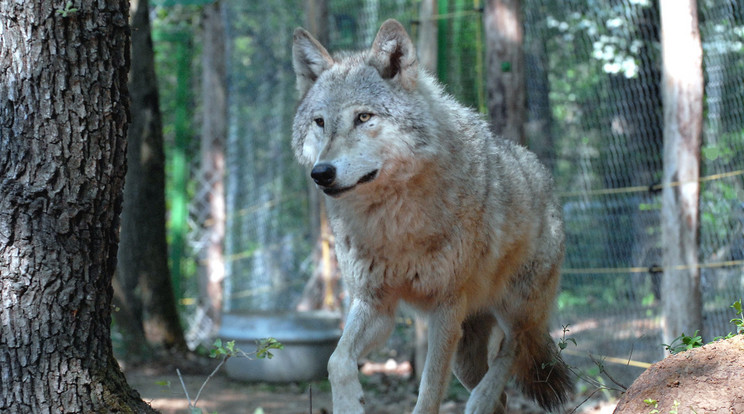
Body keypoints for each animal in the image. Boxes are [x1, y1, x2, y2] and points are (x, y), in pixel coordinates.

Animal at [290, 18, 568, 410]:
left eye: (363, 117)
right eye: (319, 122)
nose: (321, 173)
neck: (393, 223)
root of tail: (545, 177)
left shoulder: (446, 307)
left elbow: (430, 391)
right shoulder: (376, 304)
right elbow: (337, 360)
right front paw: (350, 404)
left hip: (514, 310)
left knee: (513, 349)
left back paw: (480, 399)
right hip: (466, 353)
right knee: (503, 394)